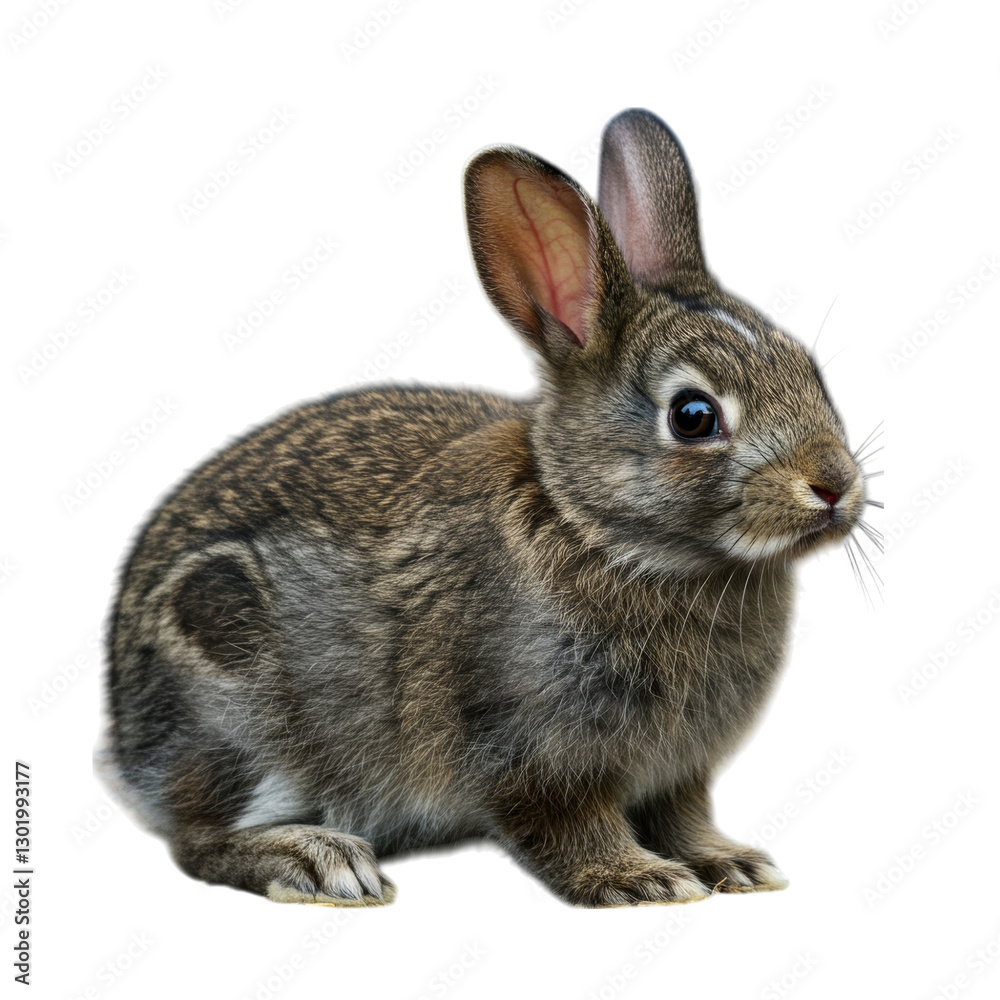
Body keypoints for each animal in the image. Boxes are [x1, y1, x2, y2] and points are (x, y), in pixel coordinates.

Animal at [103, 108, 866, 908]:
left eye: (808, 371)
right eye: (693, 416)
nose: (835, 485)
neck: (595, 529)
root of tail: (125, 733)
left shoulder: (677, 773)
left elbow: (684, 816)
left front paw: (733, 865)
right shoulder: (532, 749)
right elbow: (567, 823)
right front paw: (640, 880)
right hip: (236, 697)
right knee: (199, 839)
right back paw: (317, 860)